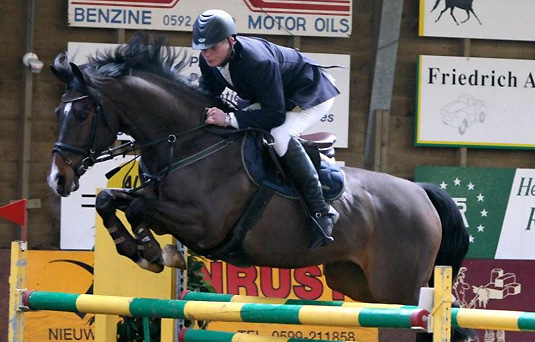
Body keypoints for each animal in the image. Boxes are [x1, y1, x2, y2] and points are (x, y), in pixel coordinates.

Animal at [48, 32, 472, 340]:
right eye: (58, 112)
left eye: (82, 113)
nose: (58, 179)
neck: (187, 143)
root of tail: (421, 193)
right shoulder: (156, 200)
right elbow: (108, 199)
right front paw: (138, 249)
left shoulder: (203, 225)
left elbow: (136, 207)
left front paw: (153, 252)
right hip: (357, 282)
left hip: (398, 290)